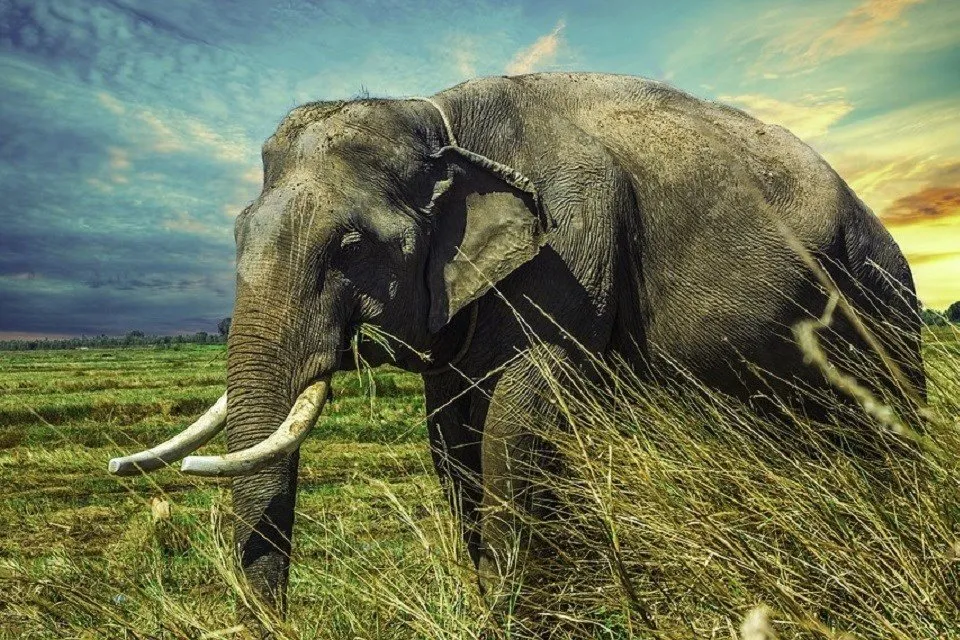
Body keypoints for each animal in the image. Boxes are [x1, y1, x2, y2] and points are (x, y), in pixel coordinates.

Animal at [109, 72, 925, 620]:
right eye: (237, 233)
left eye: (351, 246)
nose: (278, 623)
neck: (436, 115)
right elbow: (450, 433)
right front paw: (491, 604)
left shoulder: (573, 244)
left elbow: (517, 415)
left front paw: (515, 612)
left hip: (883, 296)